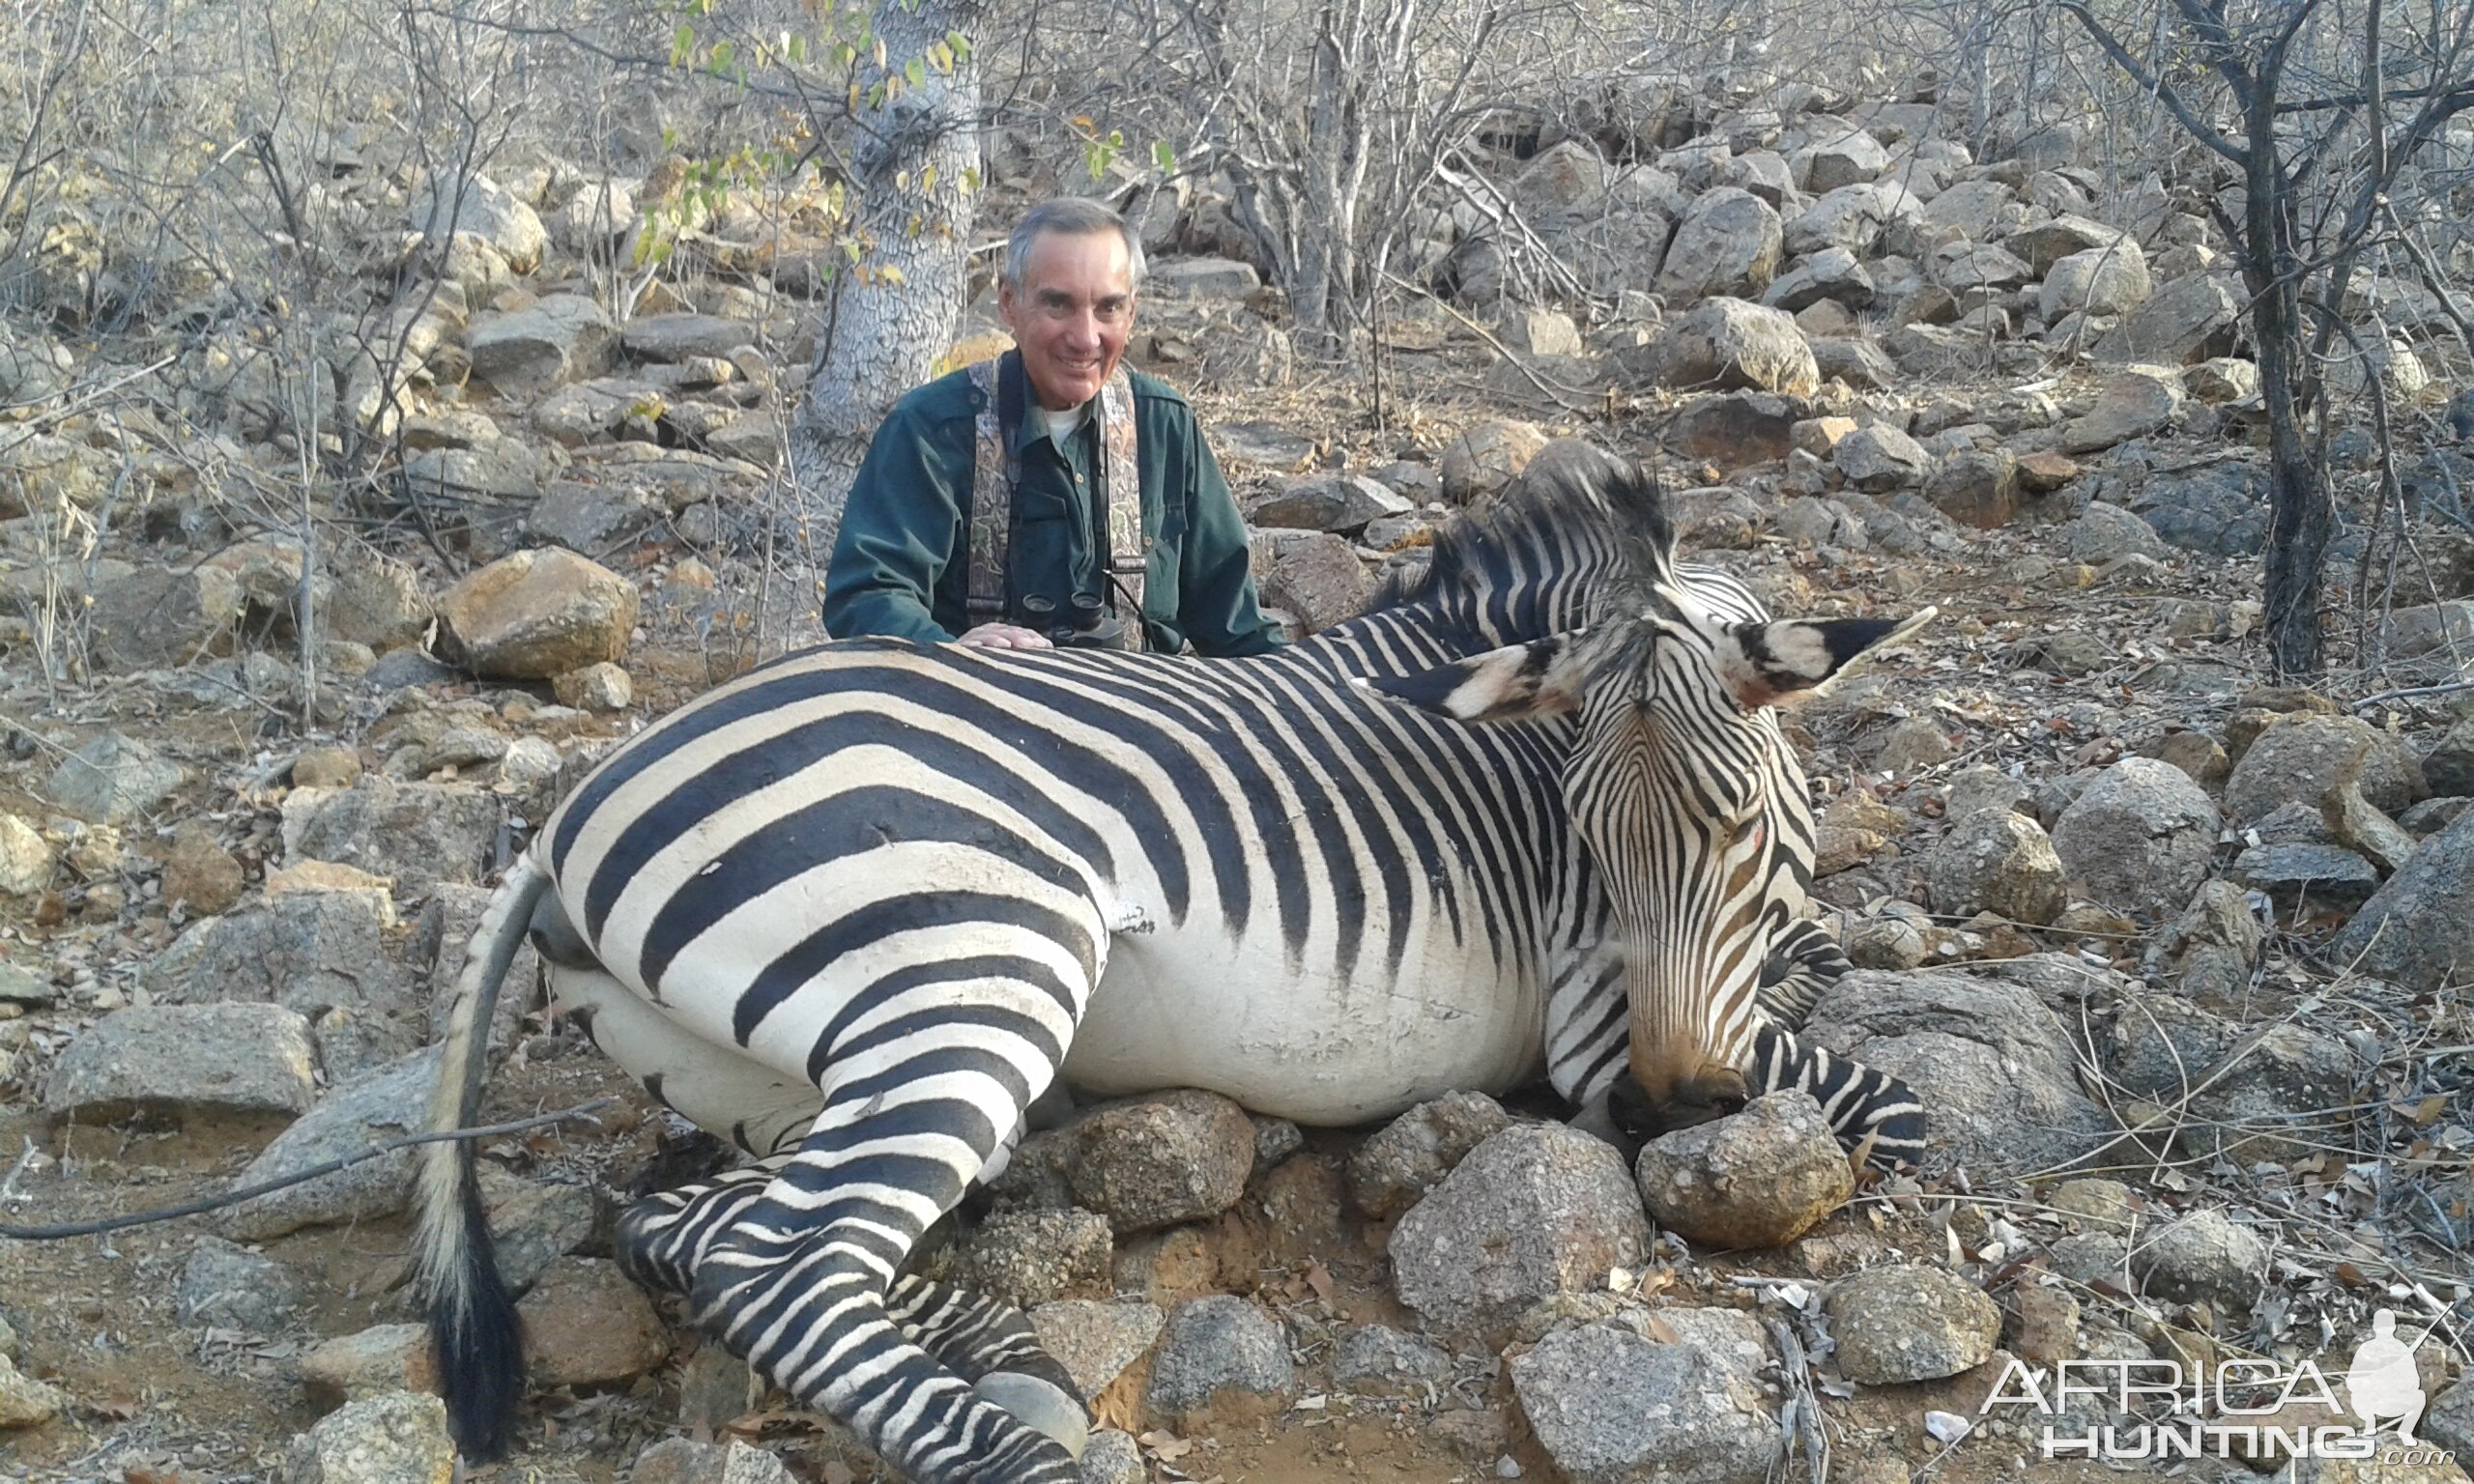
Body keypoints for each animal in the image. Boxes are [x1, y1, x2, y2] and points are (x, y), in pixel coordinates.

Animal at [416, 438, 1929, 1473]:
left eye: (1737, 830)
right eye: (1588, 845)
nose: (1672, 1114)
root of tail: (569, 813)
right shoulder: (1597, 1018)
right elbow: (1892, 1108)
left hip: (797, 1081)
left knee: (692, 1224)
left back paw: (1008, 1358)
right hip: (981, 965)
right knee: (779, 1265)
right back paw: (1017, 1452)